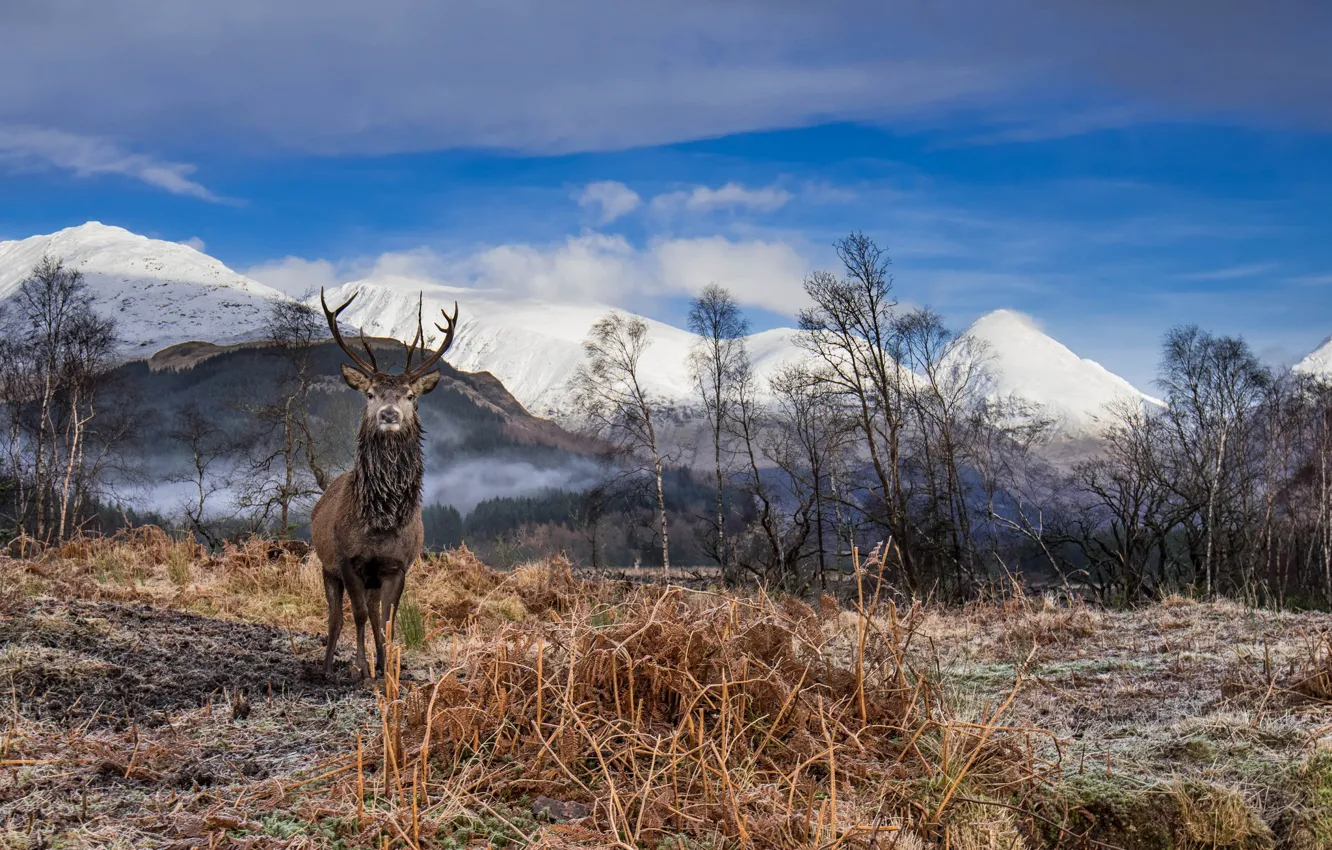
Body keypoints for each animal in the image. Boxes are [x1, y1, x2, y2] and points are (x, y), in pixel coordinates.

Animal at [312, 288, 458, 681]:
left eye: (410, 395)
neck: (381, 522)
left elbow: (388, 620)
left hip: (374, 578)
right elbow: (359, 615)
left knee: (375, 612)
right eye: (370, 393)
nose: (388, 414)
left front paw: (387, 666)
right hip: (327, 566)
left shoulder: (398, 565)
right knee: (336, 617)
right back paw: (328, 666)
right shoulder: (347, 560)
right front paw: (362, 667)